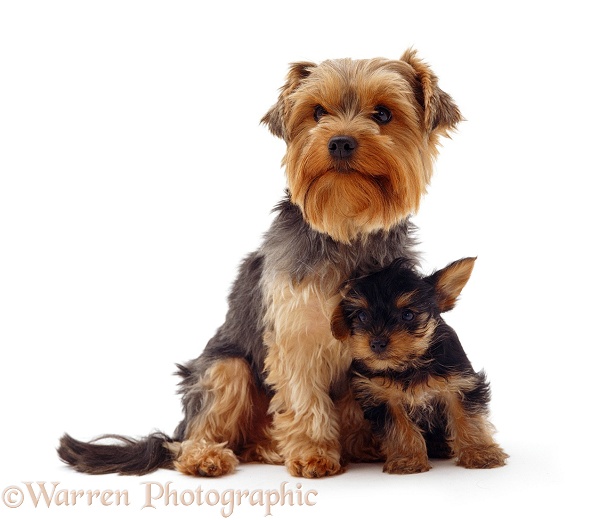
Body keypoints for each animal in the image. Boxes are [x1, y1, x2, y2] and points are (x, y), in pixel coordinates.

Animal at [56, 47, 462, 476]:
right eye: (318, 112)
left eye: (383, 114)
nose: (339, 142)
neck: (345, 228)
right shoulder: (295, 331)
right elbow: (303, 396)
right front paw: (314, 452)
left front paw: (366, 444)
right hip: (224, 366)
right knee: (193, 433)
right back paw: (208, 455)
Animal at [332, 258, 508, 474]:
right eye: (362, 316)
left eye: (408, 315)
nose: (377, 343)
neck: (409, 365)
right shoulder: (383, 398)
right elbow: (400, 427)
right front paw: (408, 459)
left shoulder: (459, 384)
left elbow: (467, 418)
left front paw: (480, 452)